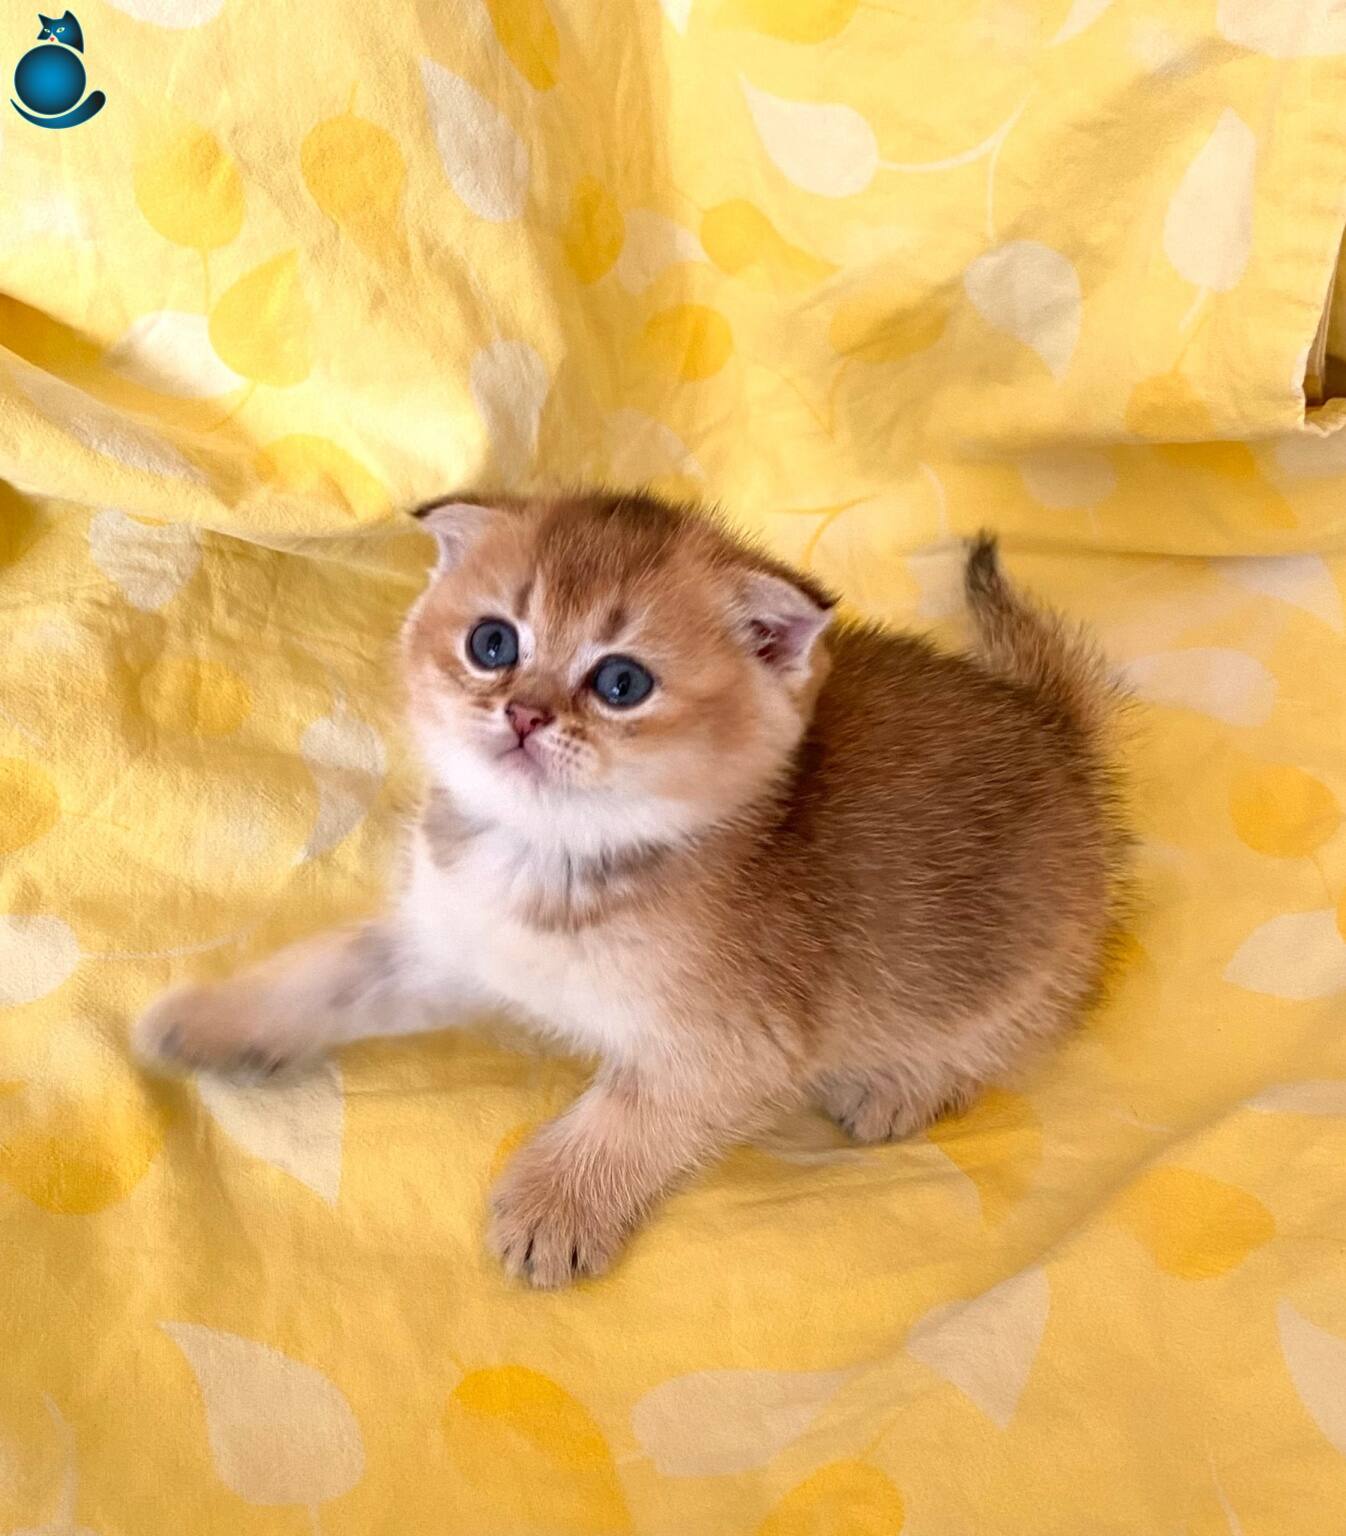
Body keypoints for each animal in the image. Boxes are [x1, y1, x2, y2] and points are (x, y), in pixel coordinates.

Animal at [135, 492, 1126, 1288]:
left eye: (621, 682)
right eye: (492, 643)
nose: (524, 712)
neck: (550, 859)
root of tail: (1057, 732)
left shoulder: (730, 1047)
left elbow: (628, 1118)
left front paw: (554, 1206)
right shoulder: (454, 945)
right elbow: (330, 971)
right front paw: (215, 1020)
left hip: (1020, 971)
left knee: (1005, 1034)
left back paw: (901, 1087)